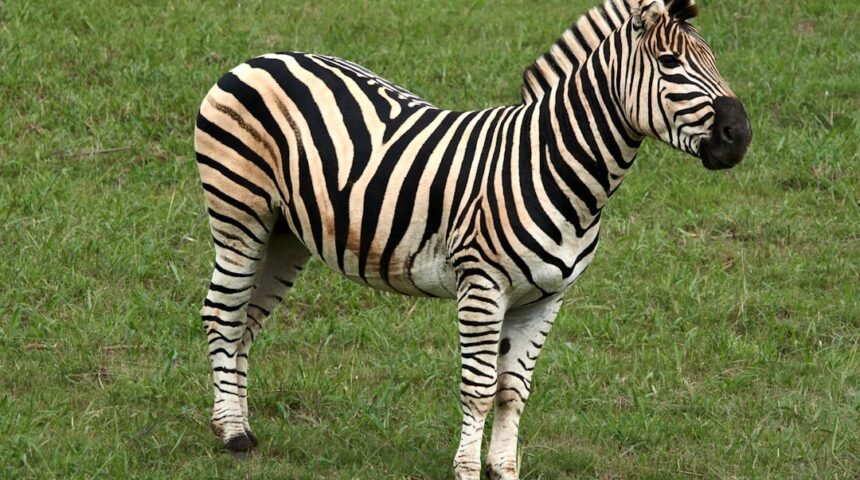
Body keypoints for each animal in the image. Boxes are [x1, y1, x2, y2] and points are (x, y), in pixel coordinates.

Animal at [193, 0, 751, 477]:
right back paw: (234, 436)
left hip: (286, 235)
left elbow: (513, 392)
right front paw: (466, 470)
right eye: (670, 62)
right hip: (240, 215)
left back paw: (234, 423)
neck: (552, 164)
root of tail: (260, 59)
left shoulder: (546, 298)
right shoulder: (482, 287)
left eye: (713, 60)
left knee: (246, 324)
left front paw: (503, 469)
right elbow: (479, 390)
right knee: (222, 314)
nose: (740, 135)